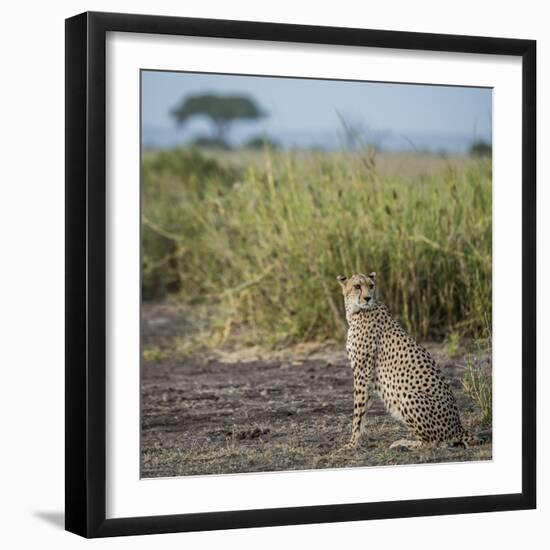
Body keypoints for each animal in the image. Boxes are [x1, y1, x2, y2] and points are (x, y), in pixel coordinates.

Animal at [334, 272, 480, 452]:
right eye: (357, 286)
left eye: (371, 286)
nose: (368, 298)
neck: (356, 311)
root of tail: (458, 426)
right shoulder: (367, 375)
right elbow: (364, 408)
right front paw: (358, 440)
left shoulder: (362, 372)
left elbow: (358, 411)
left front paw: (352, 443)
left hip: (409, 395)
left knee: (433, 442)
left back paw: (404, 443)